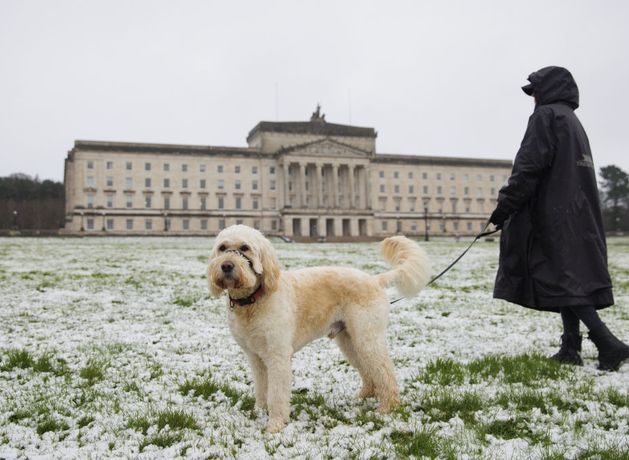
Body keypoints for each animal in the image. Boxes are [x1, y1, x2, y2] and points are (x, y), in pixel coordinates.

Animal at [207, 225, 432, 434]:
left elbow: (277, 393)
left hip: (367, 337)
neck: (253, 300)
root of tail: (375, 280)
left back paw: (387, 407)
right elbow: (262, 388)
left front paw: (275, 424)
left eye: (245, 248)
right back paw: (365, 394)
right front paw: (259, 410)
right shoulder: (255, 357)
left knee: (385, 371)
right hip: (350, 340)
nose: (227, 266)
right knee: (369, 370)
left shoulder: (278, 356)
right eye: (222, 248)